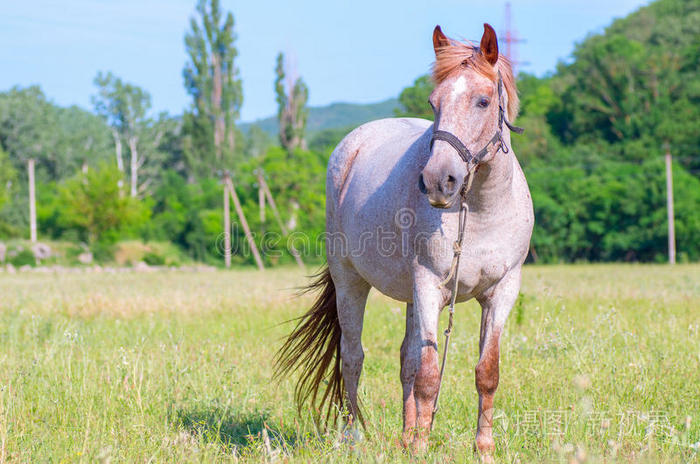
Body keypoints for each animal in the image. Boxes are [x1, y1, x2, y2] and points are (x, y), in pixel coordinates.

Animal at [274, 23, 532, 458]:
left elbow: (485, 372)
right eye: (433, 102)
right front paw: (422, 450)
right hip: (352, 282)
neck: (481, 210)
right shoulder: (428, 285)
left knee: (406, 360)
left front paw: (482, 449)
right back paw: (354, 437)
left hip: (411, 296)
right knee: (353, 357)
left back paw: (406, 434)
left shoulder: (502, 290)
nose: (438, 181)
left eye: (483, 101)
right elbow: (428, 375)